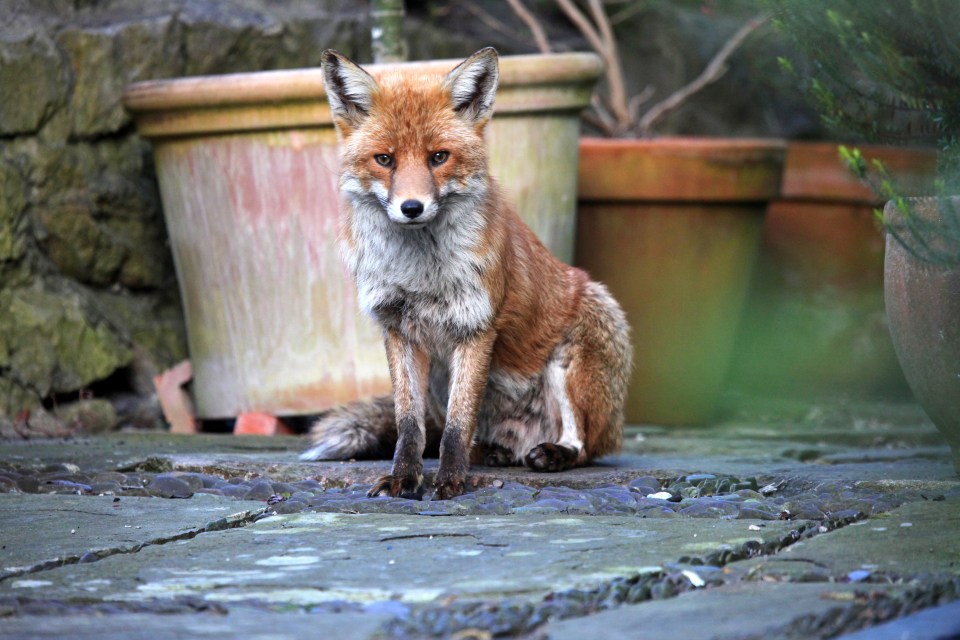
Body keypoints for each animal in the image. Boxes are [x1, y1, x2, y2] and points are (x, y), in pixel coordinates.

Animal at [300, 47, 632, 501]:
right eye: (385, 159)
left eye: (439, 157)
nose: (412, 207)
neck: (420, 273)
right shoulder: (398, 330)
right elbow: (410, 426)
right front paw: (404, 478)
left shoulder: (476, 327)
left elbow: (458, 424)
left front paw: (450, 481)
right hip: (440, 379)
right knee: (460, 436)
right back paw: (493, 453)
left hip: (580, 346)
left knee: (583, 444)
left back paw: (551, 454)